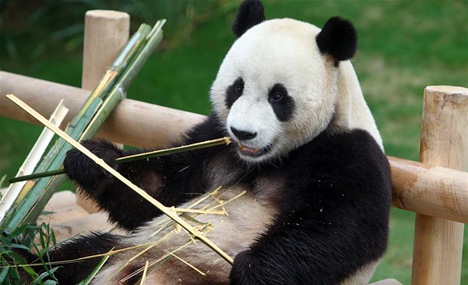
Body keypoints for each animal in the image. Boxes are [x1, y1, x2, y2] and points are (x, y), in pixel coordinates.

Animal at [19, 0, 392, 282]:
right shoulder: (215, 141)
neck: (269, 160)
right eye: (237, 88)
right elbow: (159, 194)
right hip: (124, 250)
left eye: (278, 96)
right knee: (72, 259)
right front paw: (93, 159)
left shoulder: (348, 152)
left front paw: (253, 271)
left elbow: (337, 228)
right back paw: (23, 265)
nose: (243, 133)